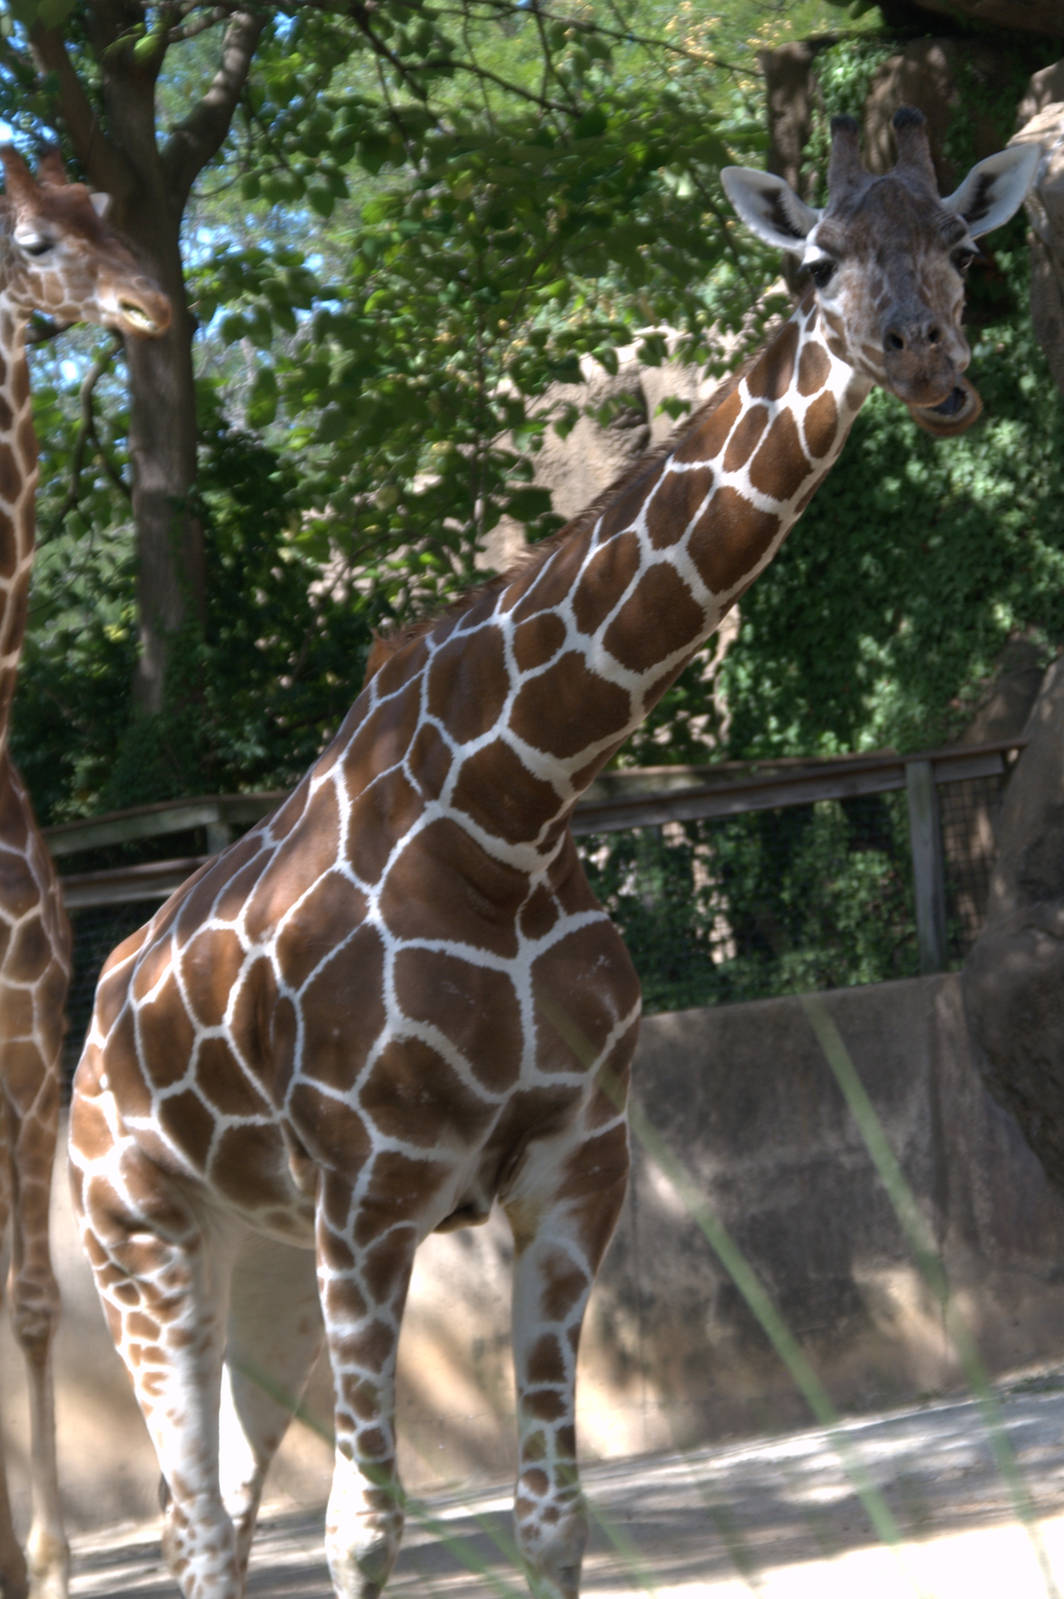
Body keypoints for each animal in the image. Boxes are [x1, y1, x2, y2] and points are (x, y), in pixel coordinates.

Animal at [67, 110, 1035, 1599]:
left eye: (963, 247)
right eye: (815, 262)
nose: (929, 366)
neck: (514, 807)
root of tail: (97, 1013)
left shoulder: (576, 1169)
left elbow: (551, 1518)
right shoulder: (372, 1194)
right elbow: (367, 1529)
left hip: (261, 1260)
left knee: (223, 1503)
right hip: (142, 1241)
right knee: (195, 1529)